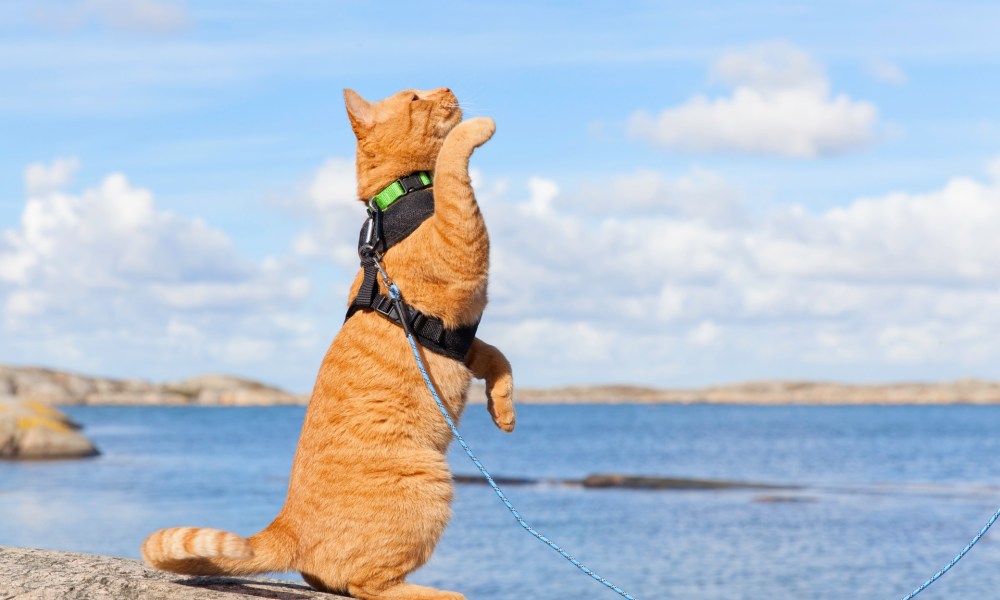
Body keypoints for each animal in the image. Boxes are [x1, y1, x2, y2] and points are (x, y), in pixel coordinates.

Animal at [143, 88, 516, 600]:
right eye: (416, 97)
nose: (448, 90)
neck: (401, 196)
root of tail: (287, 525)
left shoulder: (459, 336)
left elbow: (497, 357)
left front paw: (503, 409)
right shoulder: (460, 245)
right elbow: (454, 166)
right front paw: (477, 126)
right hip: (428, 483)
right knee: (366, 584)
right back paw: (438, 592)